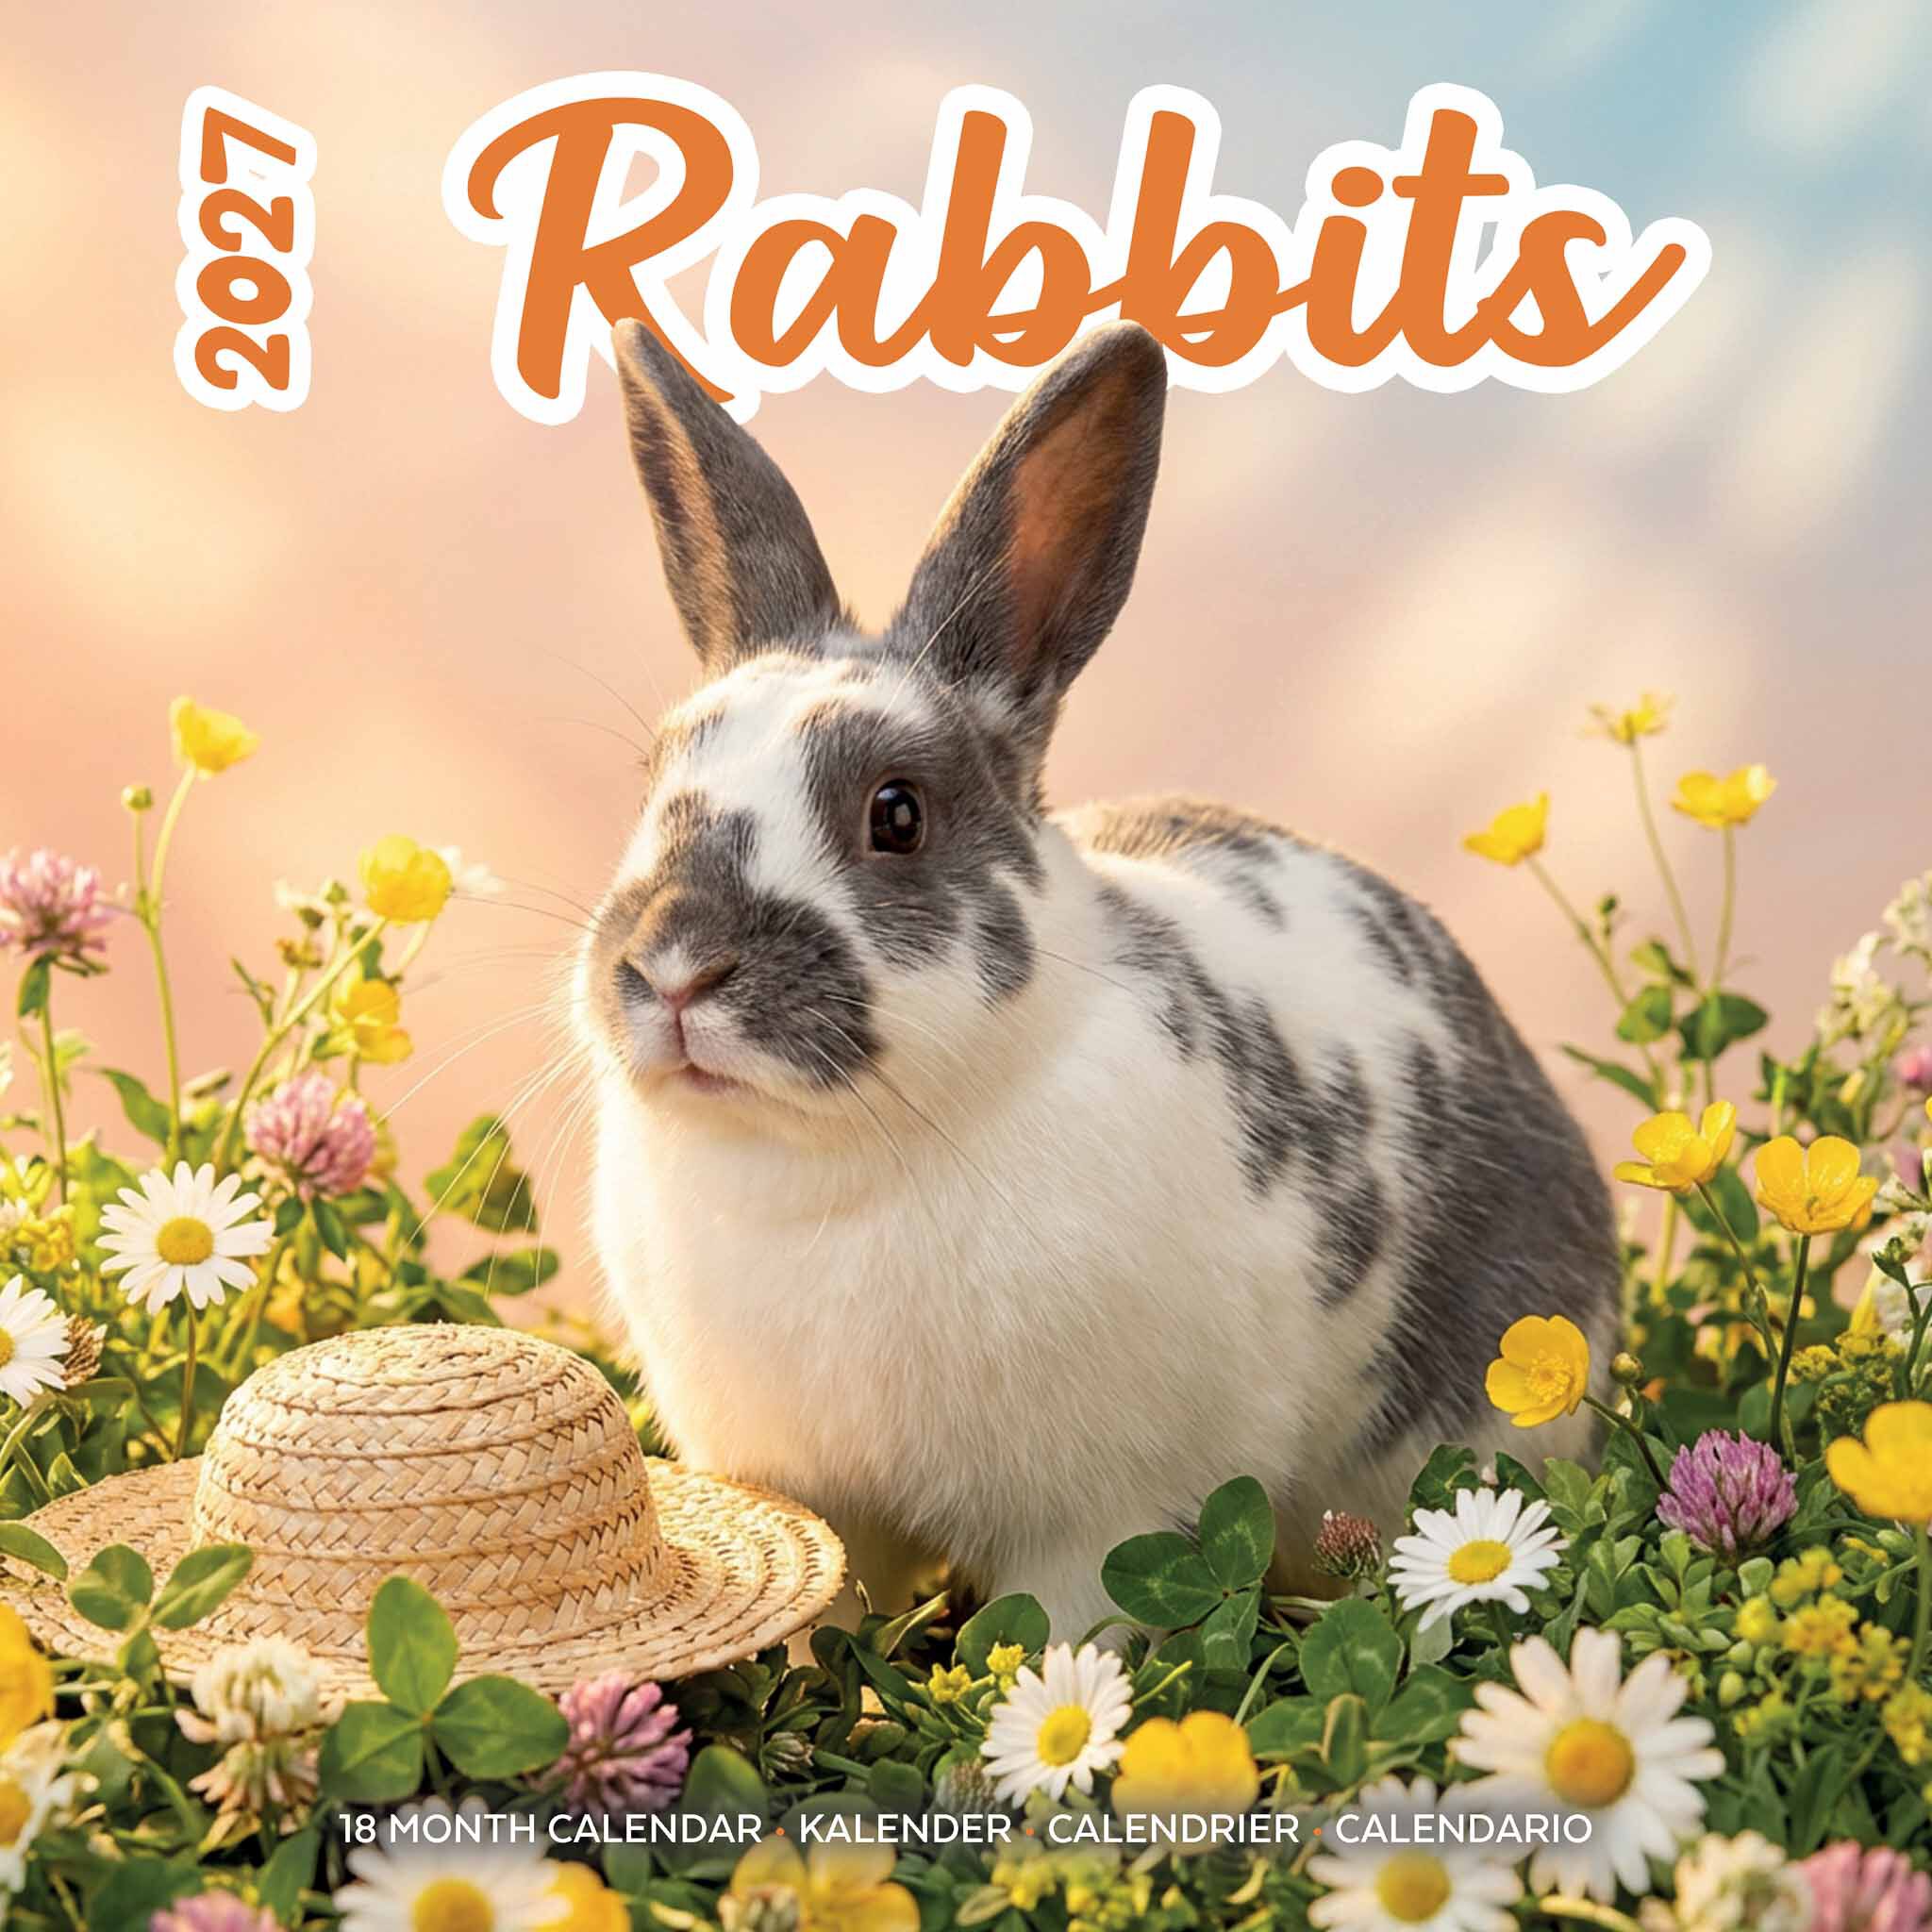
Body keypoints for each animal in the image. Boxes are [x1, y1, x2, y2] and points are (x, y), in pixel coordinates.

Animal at [576, 315, 1618, 1637]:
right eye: (656, 782)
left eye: (896, 814)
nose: (673, 967)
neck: (823, 1165)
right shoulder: (809, 1498)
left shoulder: (1095, 1524)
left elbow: (1057, 1636)